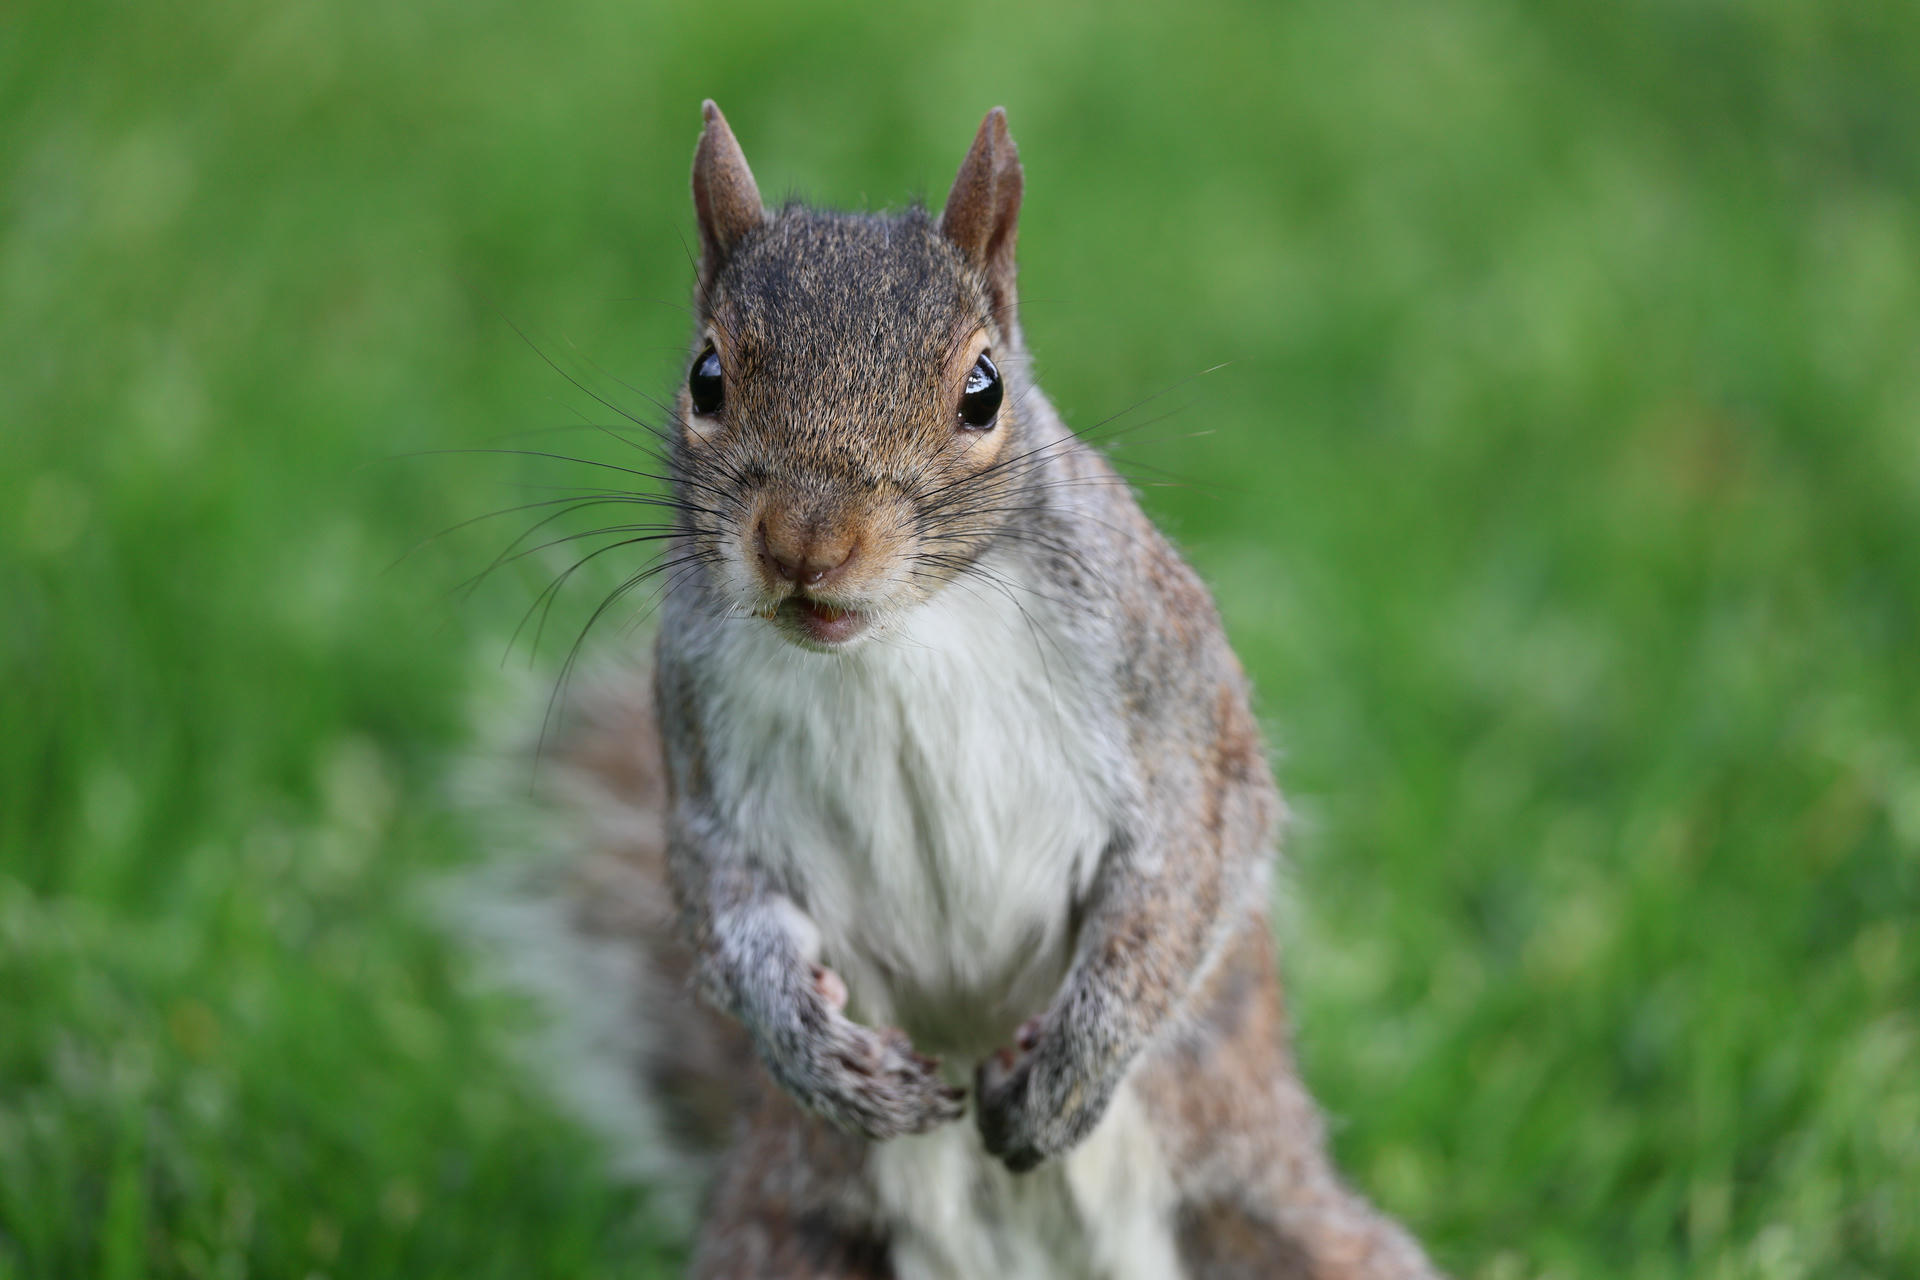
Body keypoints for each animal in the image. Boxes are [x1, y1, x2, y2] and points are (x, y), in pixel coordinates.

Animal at [476, 102, 1444, 1279]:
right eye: (706, 377)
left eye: (983, 391)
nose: (804, 545)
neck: (897, 639)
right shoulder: (699, 751)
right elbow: (721, 906)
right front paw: (818, 1053)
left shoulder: (1169, 692)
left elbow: (1187, 867)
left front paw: (1071, 1069)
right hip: (785, 1238)